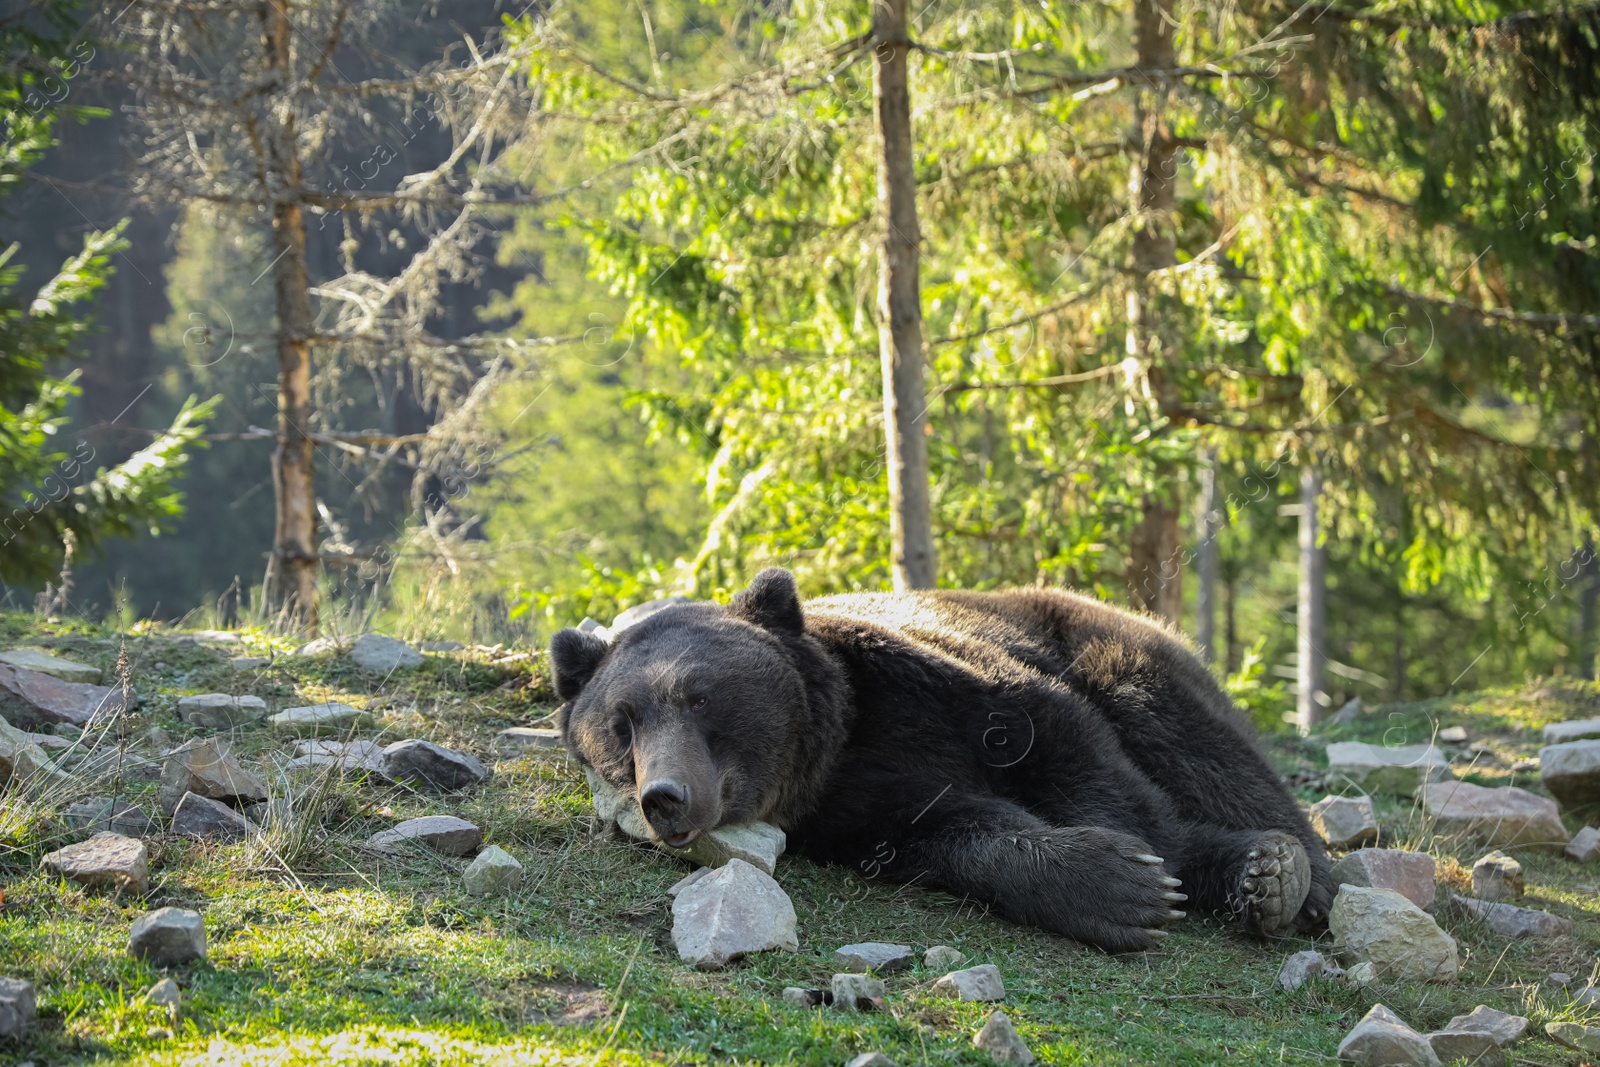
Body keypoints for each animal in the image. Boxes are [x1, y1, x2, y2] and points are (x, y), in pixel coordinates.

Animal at [553, 566, 1337, 953]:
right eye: (620, 728)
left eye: (698, 696)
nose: (666, 796)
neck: (844, 739)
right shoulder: (854, 810)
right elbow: (956, 833)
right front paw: (1115, 885)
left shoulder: (949, 682)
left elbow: (1085, 762)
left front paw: (1161, 870)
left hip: (1108, 643)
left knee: (1201, 745)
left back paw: (1285, 875)